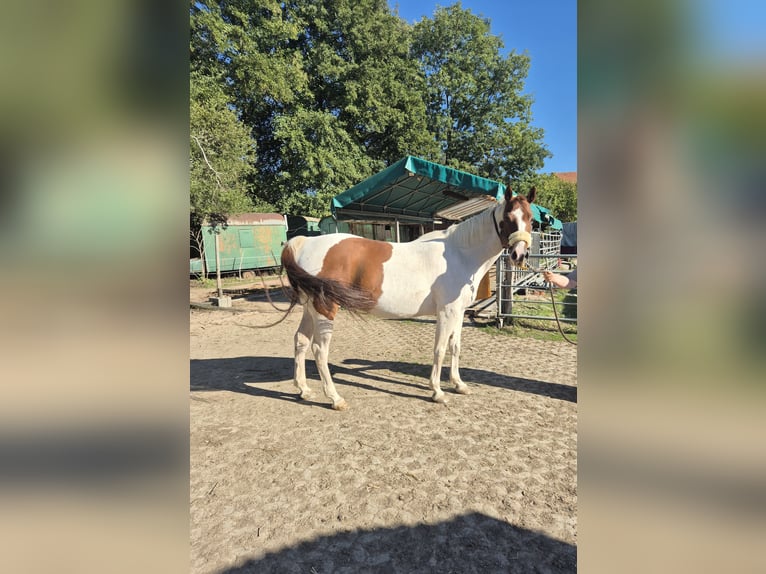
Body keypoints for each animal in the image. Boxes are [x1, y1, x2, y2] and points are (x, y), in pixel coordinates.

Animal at [281, 187, 536, 410]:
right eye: (508, 217)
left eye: (531, 218)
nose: (519, 254)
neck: (459, 254)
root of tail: (305, 242)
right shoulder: (446, 312)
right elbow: (440, 349)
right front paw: (437, 392)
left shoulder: (459, 311)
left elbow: (455, 346)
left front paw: (458, 384)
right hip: (325, 309)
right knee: (319, 350)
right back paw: (335, 398)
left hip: (310, 310)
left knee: (300, 341)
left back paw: (304, 390)